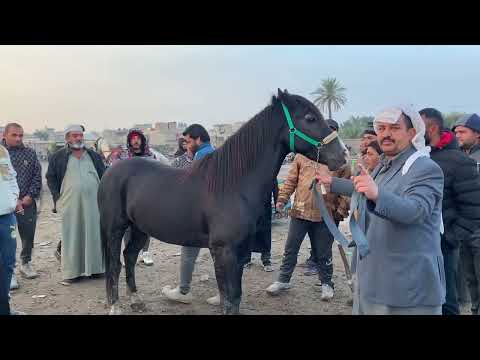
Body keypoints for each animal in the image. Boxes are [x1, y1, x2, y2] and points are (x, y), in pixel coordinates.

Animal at [98, 90, 344, 316]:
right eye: (309, 117)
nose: (342, 154)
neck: (232, 185)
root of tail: (111, 169)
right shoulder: (223, 251)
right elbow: (229, 298)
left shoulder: (240, 251)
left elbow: (235, 297)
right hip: (115, 229)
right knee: (114, 264)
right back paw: (115, 306)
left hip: (139, 228)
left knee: (129, 257)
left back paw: (136, 300)